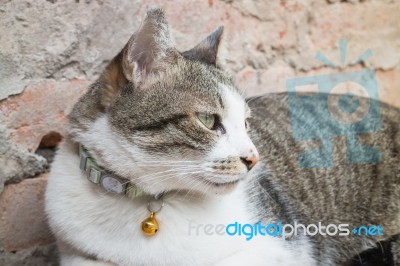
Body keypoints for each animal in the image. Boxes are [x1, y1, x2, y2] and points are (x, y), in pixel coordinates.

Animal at [44, 7, 400, 264]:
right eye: (207, 120)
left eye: (246, 124)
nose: (254, 159)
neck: (143, 201)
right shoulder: (78, 253)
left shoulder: (283, 249)